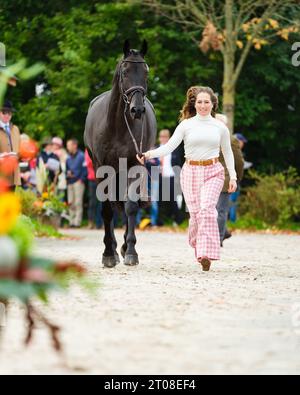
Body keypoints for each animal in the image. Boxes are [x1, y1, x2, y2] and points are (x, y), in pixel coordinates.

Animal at [83, 40, 156, 268]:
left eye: (146, 72)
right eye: (125, 72)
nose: (137, 110)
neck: (116, 125)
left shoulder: (133, 165)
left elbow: (130, 206)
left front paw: (130, 251)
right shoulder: (101, 169)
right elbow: (107, 210)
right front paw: (108, 253)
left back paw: (122, 247)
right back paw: (114, 249)